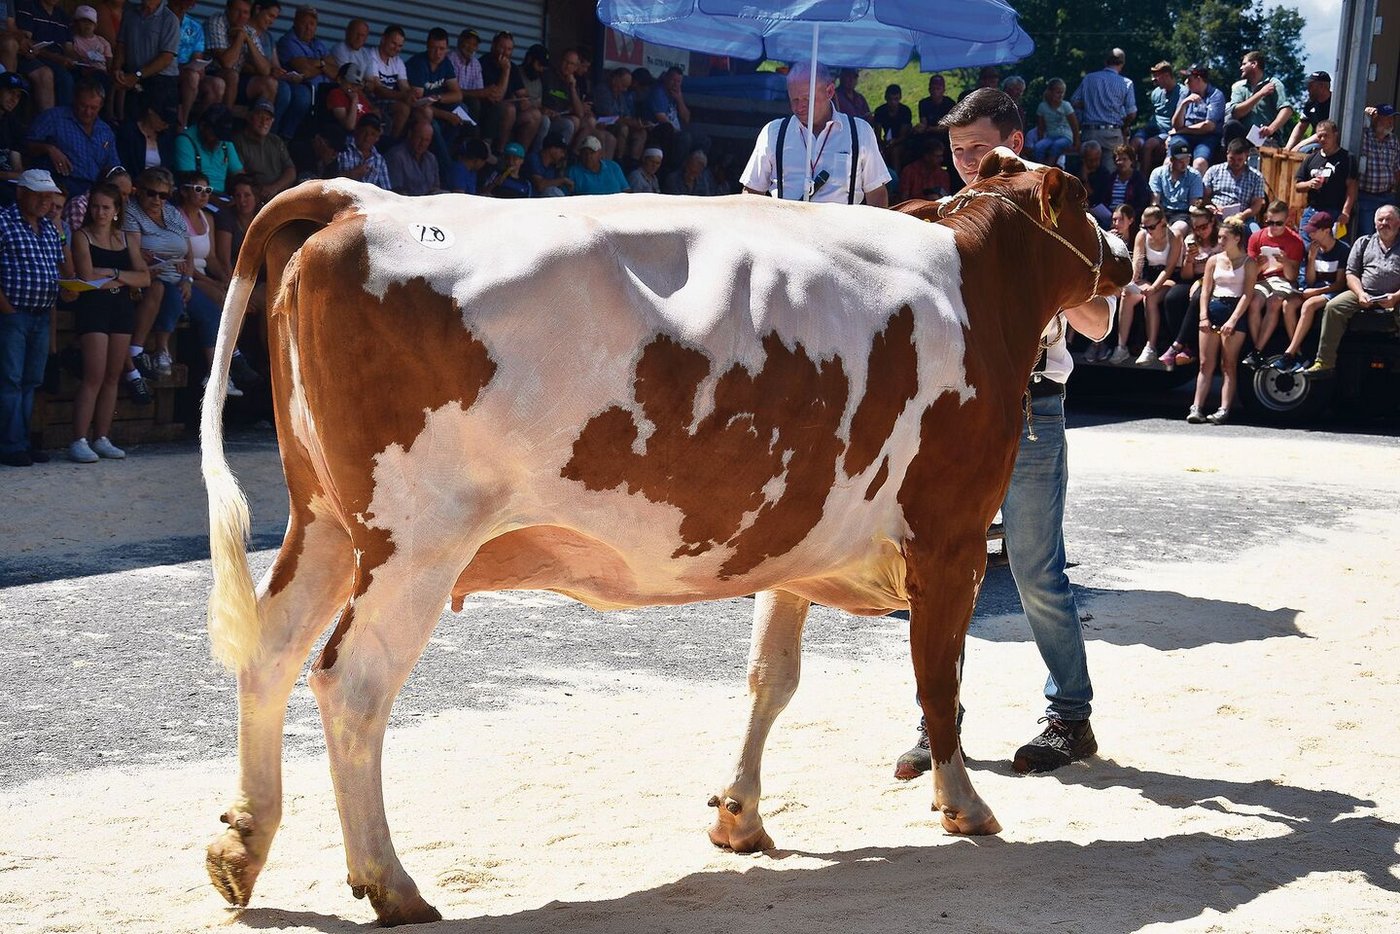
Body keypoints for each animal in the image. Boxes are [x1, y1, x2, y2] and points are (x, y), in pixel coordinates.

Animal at [200, 149, 1131, 925]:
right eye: (1086, 196)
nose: (1125, 254)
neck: (975, 283)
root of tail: (365, 202)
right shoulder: (954, 537)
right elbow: (939, 683)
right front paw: (962, 804)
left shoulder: (791, 542)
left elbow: (770, 681)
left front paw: (739, 815)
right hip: (415, 543)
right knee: (351, 683)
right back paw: (389, 883)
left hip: (325, 524)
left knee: (270, 653)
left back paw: (241, 847)